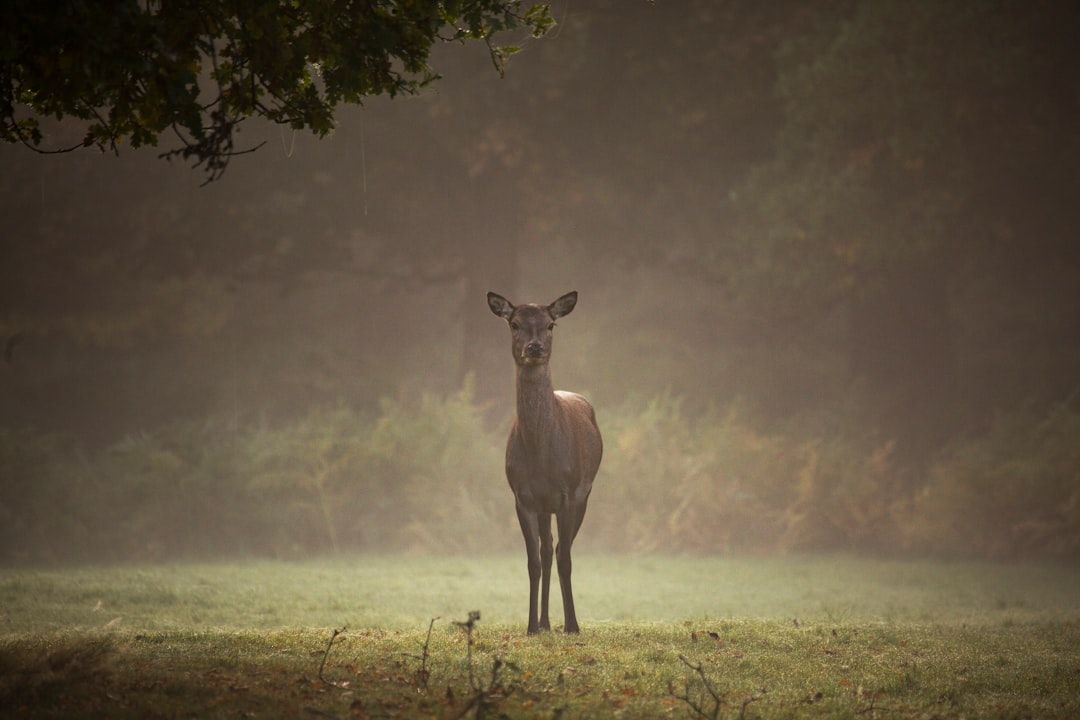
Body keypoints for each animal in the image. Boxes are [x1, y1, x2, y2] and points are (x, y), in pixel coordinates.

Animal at [487, 290, 603, 634]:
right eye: (514, 323)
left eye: (551, 324)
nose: (534, 346)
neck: (541, 456)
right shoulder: (522, 496)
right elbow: (533, 562)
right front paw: (530, 626)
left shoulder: (569, 493)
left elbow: (566, 558)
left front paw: (573, 625)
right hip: (544, 507)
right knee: (547, 549)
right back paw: (545, 622)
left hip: (584, 494)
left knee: (562, 549)